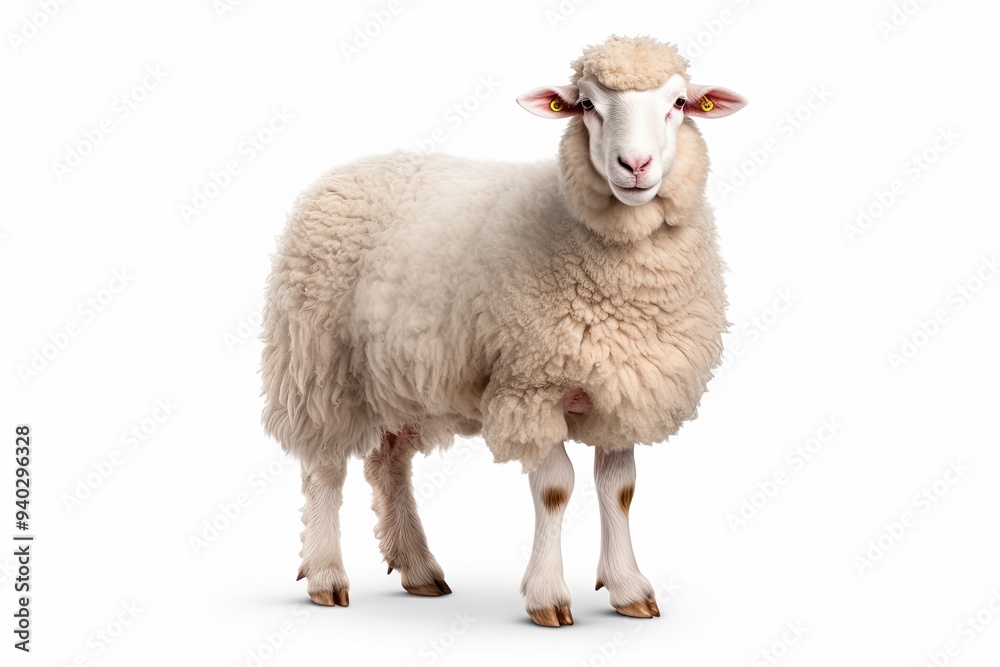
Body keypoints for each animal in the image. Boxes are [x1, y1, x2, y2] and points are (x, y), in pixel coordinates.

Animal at [260, 34, 746, 627]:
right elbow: (556, 490)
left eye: (678, 103)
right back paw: (326, 574)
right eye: (587, 105)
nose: (635, 164)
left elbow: (620, 489)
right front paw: (547, 597)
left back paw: (418, 568)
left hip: (397, 374)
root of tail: (348, 170)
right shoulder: (530, 387)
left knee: (388, 462)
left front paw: (629, 588)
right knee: (325, 468)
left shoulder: (621, 390)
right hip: (320, 358)